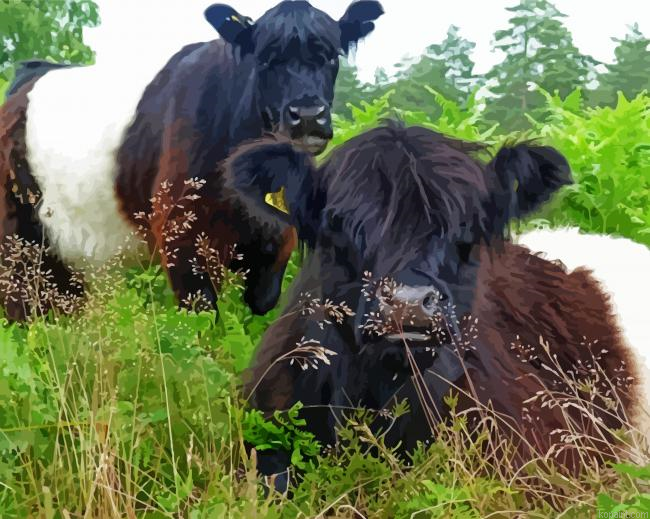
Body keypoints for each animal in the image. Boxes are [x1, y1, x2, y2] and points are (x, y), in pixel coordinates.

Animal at [0, 1, 384, 321]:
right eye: (264, 60)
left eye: (331, 57)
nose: (307, 115)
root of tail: (29, 75)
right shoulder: (180, 233)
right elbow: (201, 317)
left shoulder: (274, 240)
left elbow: (259, 306)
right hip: (20, 238)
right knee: (25, 309)